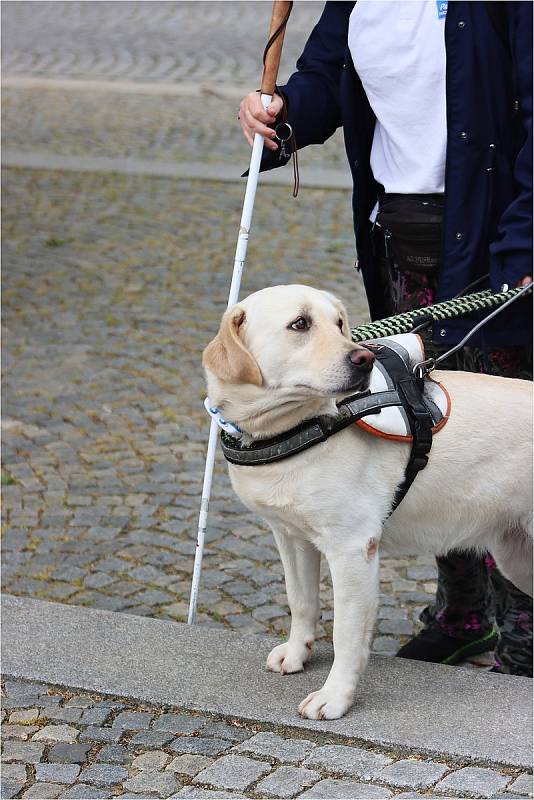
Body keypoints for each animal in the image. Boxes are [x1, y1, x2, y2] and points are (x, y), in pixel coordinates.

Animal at [203, 286, 532, 720]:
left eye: (339, 323)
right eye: (300, 324)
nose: (363, 358)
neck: (295, 426)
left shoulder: (352, 549)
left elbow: (346, 634)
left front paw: (335, 698)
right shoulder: (292, 537)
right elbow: (301, 601)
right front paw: (296, 654)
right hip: (517, 556)